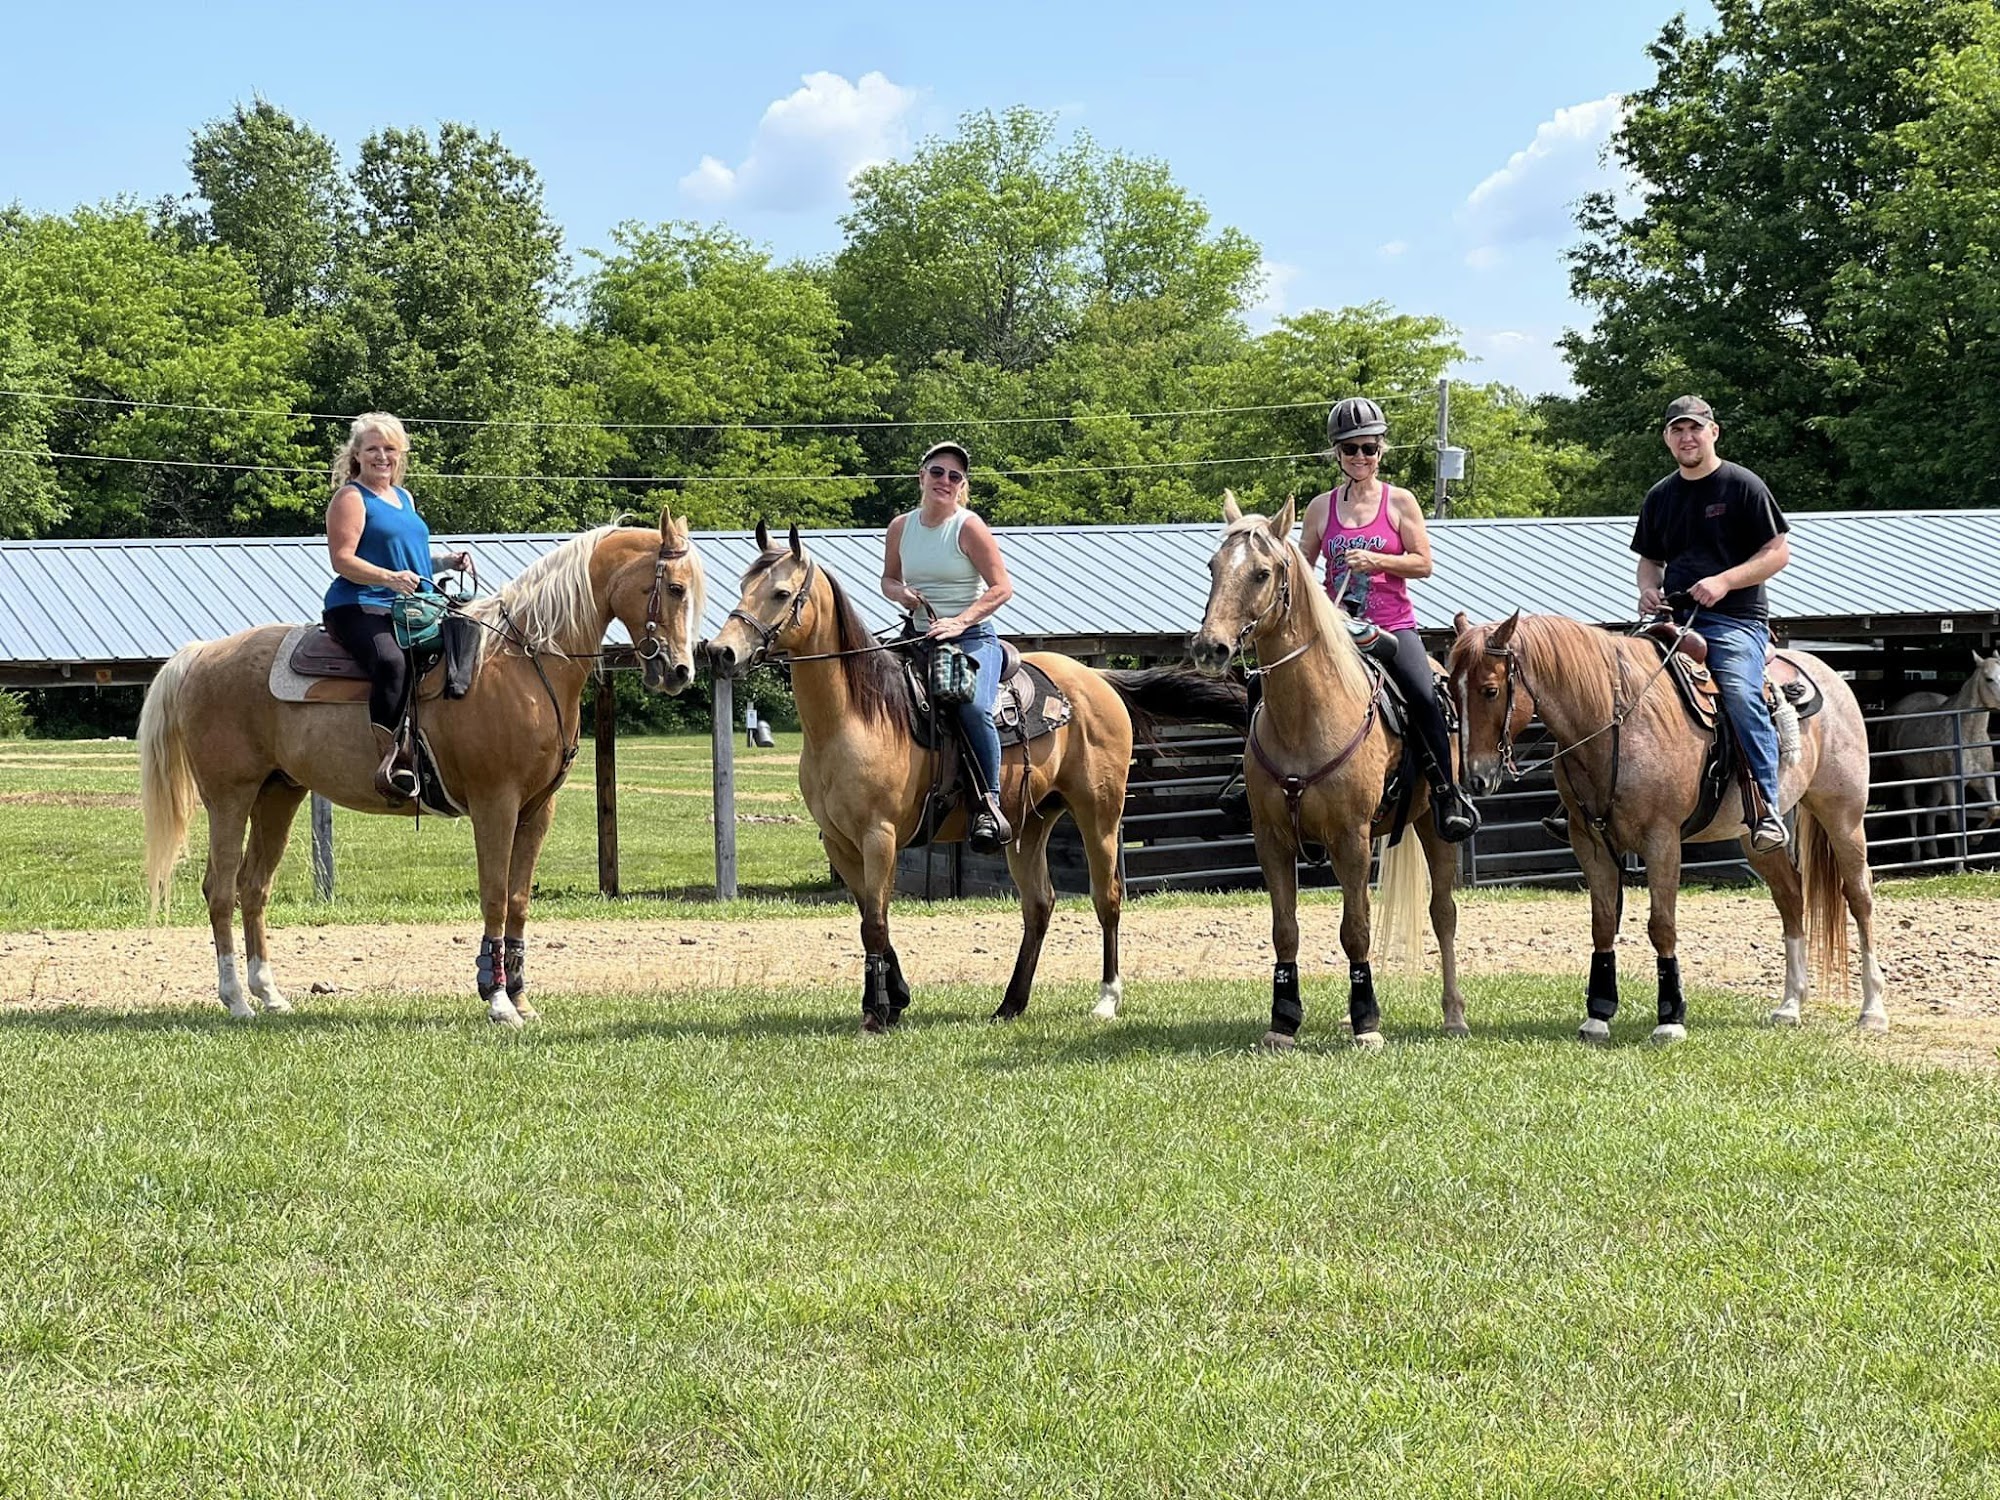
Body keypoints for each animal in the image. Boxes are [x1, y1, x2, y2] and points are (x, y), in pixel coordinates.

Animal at [139, 510, 707, 1026]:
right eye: (675, 588)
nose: (680, 671)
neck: (523, 663)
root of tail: (200, 655)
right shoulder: (495, 804)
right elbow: (494, 895)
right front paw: (497, 1000)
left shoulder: (536, 810)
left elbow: (519, 899)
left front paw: (521, 997)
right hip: (229, 797)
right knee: (220, 889)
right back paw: (236, 999)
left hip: (279, 794)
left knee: (253, 888)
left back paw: (270, 996)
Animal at [703, 521, 1247, 1032]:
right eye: (743, 583)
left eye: (779, 593)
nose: (722, 652)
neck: (854, 717)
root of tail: (1097, 680)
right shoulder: (839, 841)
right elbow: (870, 919)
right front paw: (896, 1000)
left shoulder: (879, 837)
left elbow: (875, 923)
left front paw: (876, 1014)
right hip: (1029, 824)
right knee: (1039, 904)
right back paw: (1011, 1004)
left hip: (1100, 812)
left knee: (1106, 896)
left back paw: (1106, 999)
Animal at [1186, 494, 1461, 1050]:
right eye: (1212, 567)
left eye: (1262, 573)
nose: (1210, 648)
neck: (1307, 715)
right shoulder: (1271, 838)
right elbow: (1285, 929)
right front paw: (1284, 1020)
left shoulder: (1350, 839)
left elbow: (1355, 929)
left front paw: (1367, 1022)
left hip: (1434, 827)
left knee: (1442, 913)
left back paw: (1453, 1014)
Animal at [1445, 610, 1888, 1041]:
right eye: (1451, 689)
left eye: (1490, 690)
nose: (1475, 778)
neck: (1615, 720)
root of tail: (1831, 677)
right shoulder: (1589, 841)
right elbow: (1602, 924)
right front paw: (1598, 1016)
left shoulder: (1662, 840)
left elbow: (1662, 926)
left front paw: (1670, 1018)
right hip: (1758, 839)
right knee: (1791, 898)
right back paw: (1790, 1005)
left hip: (1843, 816)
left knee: (1859, 897)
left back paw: (1872, 1011)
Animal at [1875, 652, 2000, 866]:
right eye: (1989, 679)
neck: (1968, 734)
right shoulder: (1951, 784)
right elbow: (1955, 822)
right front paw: (1959, 864)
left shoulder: (1985, 779)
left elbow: (1994, 809)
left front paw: (1975, 838)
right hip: (1908, 779)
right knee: (1912, 811)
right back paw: (1916, 853)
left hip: (1935, 782)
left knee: (1931, 809)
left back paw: (1932, 851)